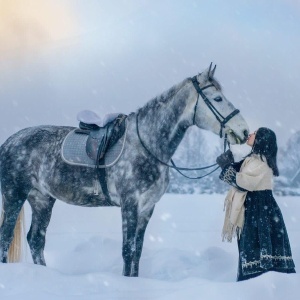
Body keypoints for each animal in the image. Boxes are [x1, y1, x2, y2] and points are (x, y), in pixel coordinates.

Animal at [0, 63, 248, 276]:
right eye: (217, 98)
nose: (244, 131)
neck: (146, 143)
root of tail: (9, 142)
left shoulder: (147, 208)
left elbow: (137, 251)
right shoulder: (130, 204)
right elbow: (128, 251)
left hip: (42, 199)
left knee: (36, 239)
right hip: (15, 196)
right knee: (6, 237)